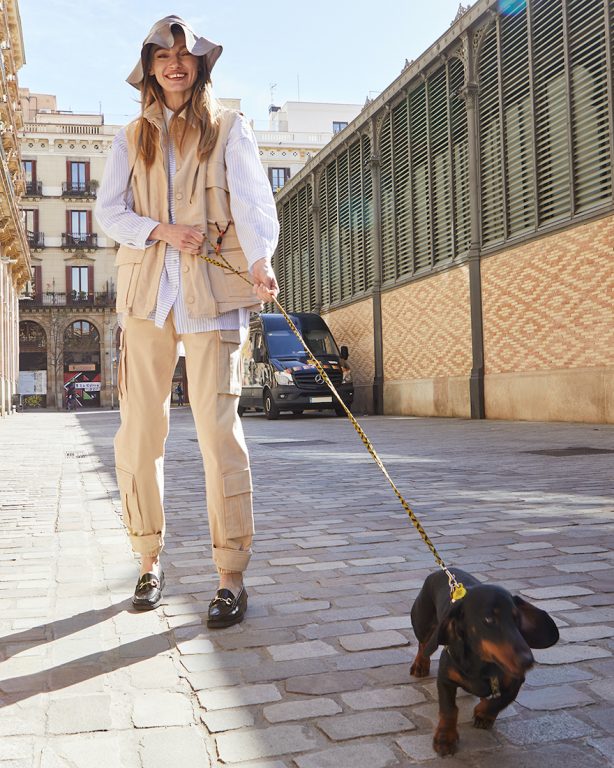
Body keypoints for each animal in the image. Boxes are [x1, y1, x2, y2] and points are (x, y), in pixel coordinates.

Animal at [410, 568, 559, 756]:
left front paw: (483, 714)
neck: (483, 664)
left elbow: (501, 700)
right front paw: (445, 738)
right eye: (488, 619)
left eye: (517, 618)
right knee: (424, 644)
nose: (528, 661)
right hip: (422, 624)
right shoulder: (445, 678)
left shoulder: (516, 680)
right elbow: (449, 709)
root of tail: (442, 571)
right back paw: (420, 665)